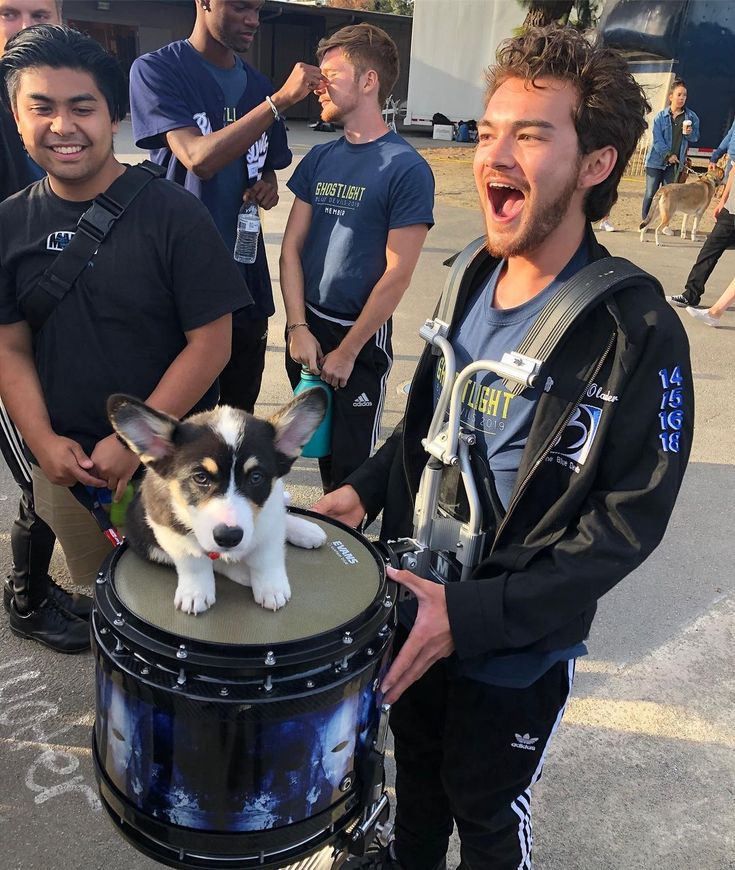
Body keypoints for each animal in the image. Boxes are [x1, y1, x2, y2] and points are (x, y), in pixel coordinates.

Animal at [106, 392, 328, 616]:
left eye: (256, 477)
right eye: (200, 477)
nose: (229, 537)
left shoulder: (268, 515)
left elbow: (266, 556)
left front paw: (272, 588)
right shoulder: (167, 528)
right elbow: (195, 560)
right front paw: (195, 593)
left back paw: (306, 531)